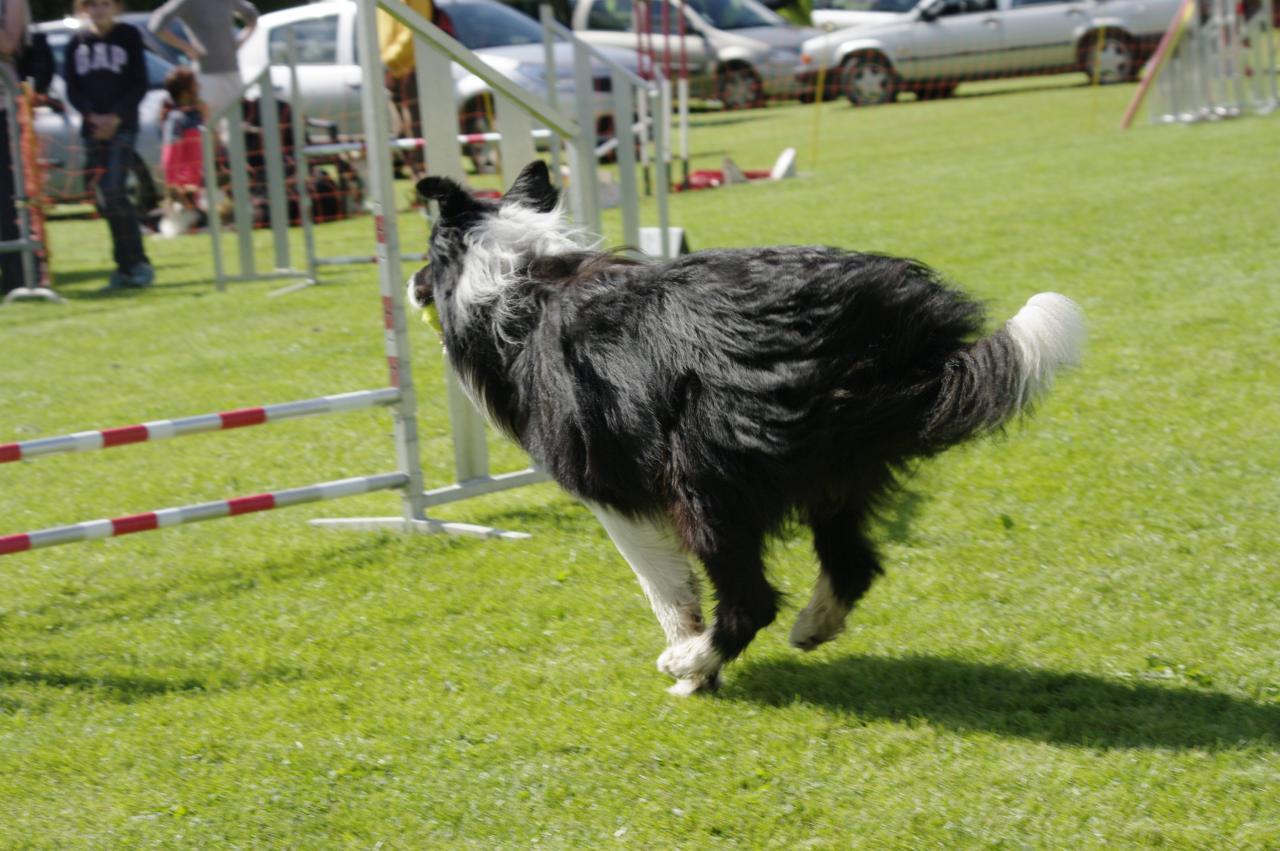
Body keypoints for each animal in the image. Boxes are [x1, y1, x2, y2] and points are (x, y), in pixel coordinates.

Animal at [407, 162, 1080, 696]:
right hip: (838, 470)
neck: (518, 278)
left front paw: (690, 662)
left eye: (425, 256)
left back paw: (689, 662)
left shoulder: (609, 485)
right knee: (852, 564)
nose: (409, 285)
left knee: (751, 598)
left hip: (707, 474)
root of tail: (890, 333)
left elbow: (664, 587)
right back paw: (812, 625)